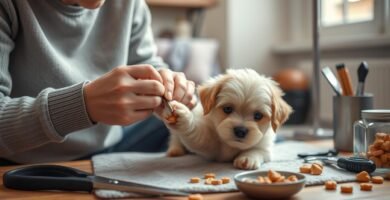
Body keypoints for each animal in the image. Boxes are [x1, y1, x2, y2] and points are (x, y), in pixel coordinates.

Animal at [155, 68, 292, 169]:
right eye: (227, 109)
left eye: (258, 115)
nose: (240, 131)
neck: (231, 146)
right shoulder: (207, 143)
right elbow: (195, 134)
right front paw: (184, 118)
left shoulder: (265, 146)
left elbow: (257, 150)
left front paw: (248, 158)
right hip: (176, 136)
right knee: (175, 138)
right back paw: (175, 150)